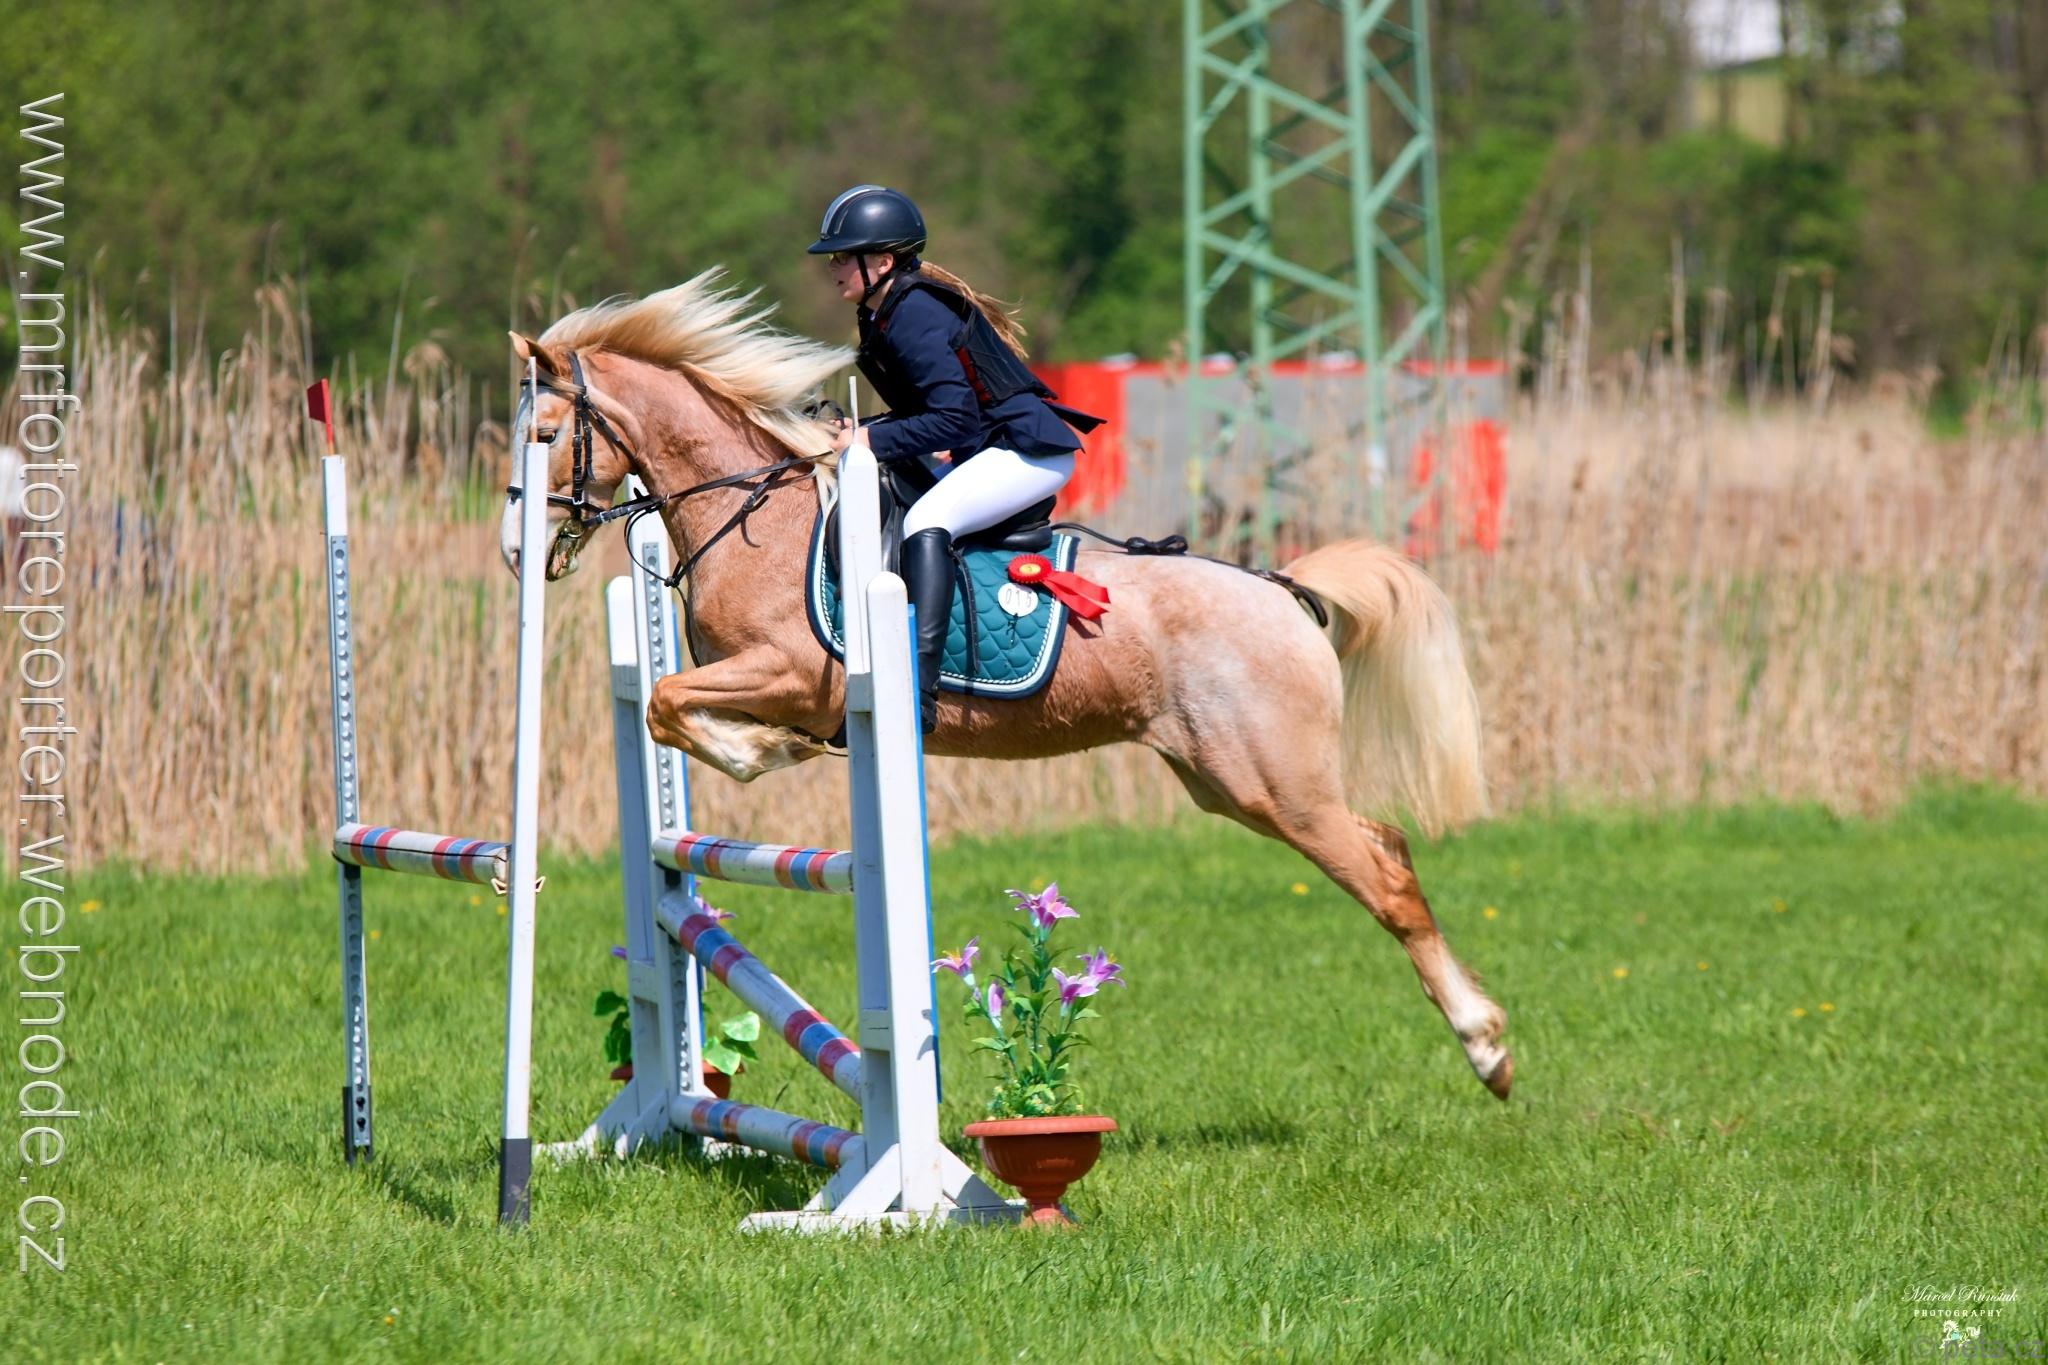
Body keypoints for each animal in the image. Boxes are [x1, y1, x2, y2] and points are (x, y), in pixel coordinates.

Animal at [499, 270, 1512, 1100]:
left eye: (545, 436)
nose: (514, 553)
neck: (755, 513)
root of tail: (1281, 588)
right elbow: (667, 708)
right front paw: (756, 750)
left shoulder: (790, 672)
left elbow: (672, 705)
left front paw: (764, 750)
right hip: (1228, 783)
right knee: (1386, 843)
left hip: (1275, 784)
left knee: (1386, 877)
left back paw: (1488, 1049)